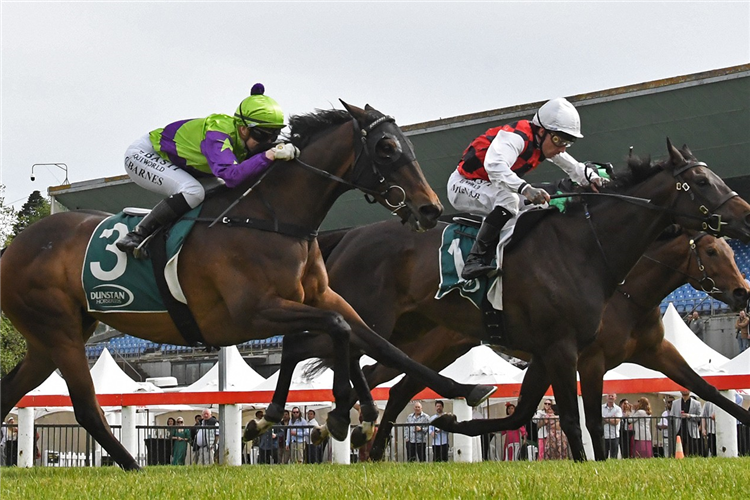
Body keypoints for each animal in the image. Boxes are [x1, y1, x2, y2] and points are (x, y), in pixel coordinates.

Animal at [0, 103, 500, 470]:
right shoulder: (251, 313)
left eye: (405, 144)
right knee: (87, 408)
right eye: (386, 147)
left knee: (11, 390)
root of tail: (14, 248)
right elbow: (339, 330)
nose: (429, 208)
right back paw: (135, 467)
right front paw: (341, 413)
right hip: (60, 332)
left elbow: (372, 340)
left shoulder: (322, 297)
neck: (271, 218)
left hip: (50, 339)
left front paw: (461, 389)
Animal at [308, 142, 750, 460]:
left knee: (393, 386)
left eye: (730, 252)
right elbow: (578, 420)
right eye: (702, 181)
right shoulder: (571, 353)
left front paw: (455, 425)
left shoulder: (633, 350)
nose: (742, 291)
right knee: (359, 367)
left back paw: (365, 438)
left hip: (426, 342)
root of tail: (346, 236)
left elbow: (707, 389)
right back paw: (342, 426)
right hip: (379, 324)